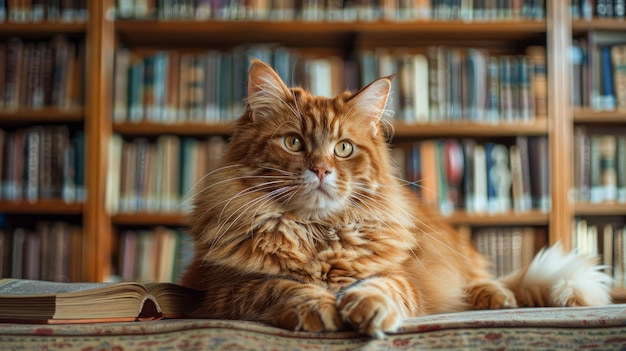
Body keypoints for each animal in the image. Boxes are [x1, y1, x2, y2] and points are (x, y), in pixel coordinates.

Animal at [180, 59, 608, 338]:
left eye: (344, 148)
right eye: (294, 143)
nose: (321, 170)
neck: (318, 233)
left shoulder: (401, 277)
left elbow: (384, 287)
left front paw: (367, 307)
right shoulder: (225, 289)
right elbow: (282, 286)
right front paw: (317, 305)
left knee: (483, 278)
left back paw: (494, 296)